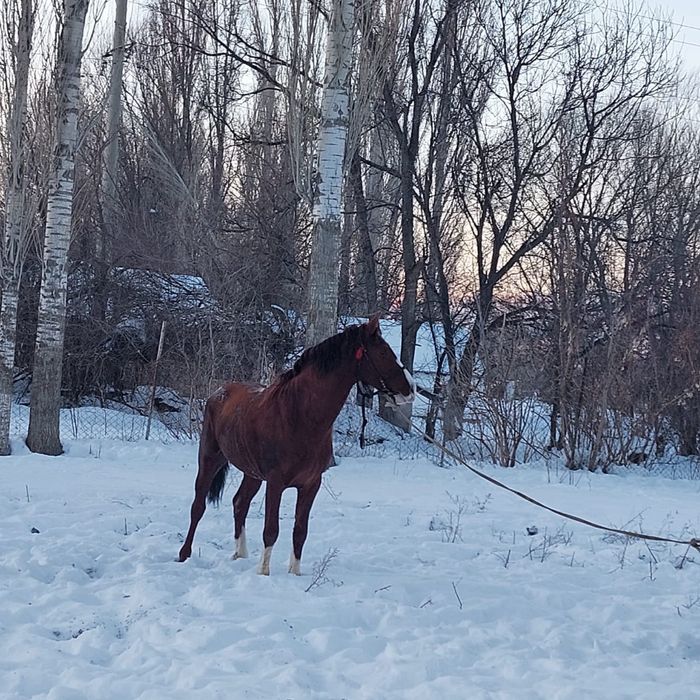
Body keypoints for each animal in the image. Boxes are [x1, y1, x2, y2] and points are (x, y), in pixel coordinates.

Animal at [178, 315, 416, 575]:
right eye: (383, 352)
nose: (411, 389)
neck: (299, 415)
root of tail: (220, 392)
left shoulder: (311, 484)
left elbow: (300, 532)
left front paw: (295, 573)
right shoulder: (276, 483)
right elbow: (271, 530)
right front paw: (264, 573)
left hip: (252, 473)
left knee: (240, 503)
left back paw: (240, 554)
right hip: (210, 458)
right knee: (198, 506)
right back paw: (184, 553)